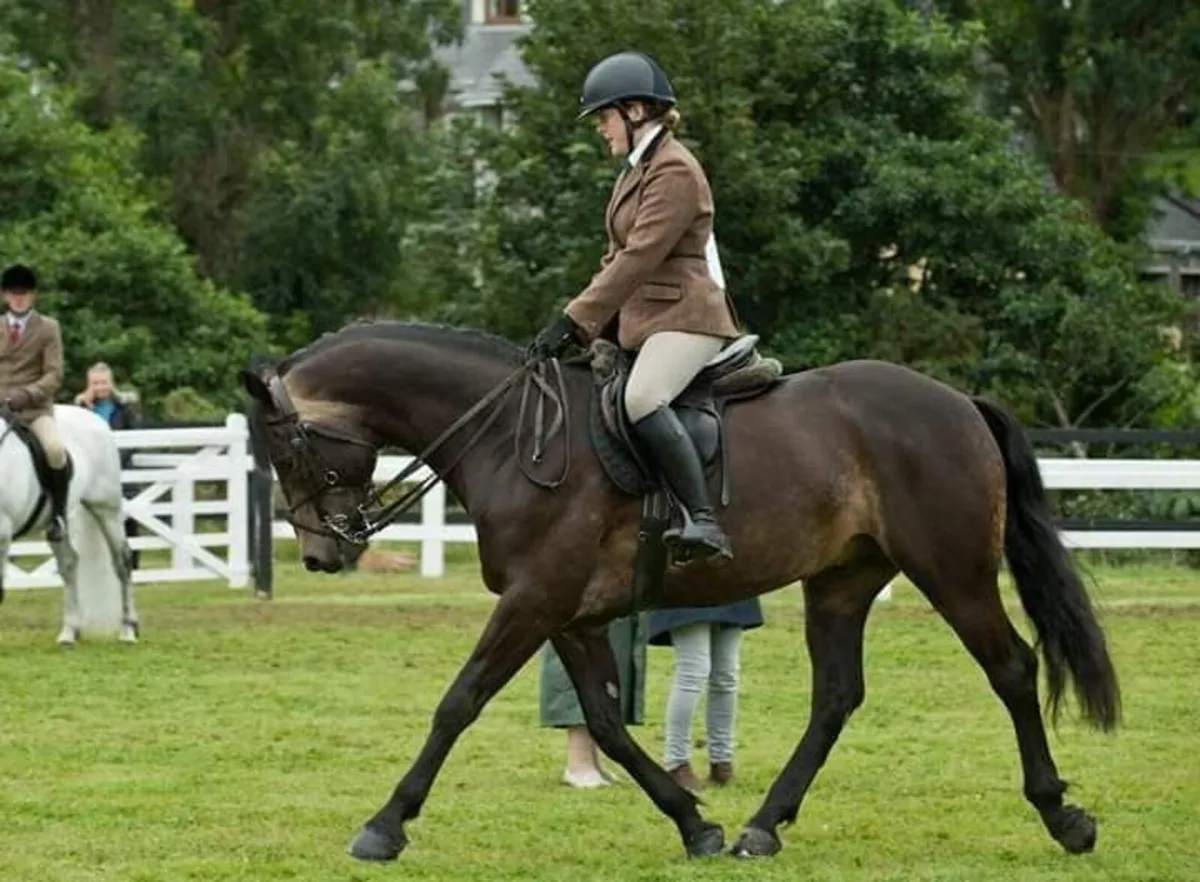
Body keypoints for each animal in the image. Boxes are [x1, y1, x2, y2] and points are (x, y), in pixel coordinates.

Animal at [0, 404, 139, 645]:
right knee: (70, 564)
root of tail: (96, 419)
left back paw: (127, 630)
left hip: (106, 509)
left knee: (122, 562)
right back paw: (69, 632)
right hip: (59, 525)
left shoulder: (2, 533)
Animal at [240, 320, 1119, 864]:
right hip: (842, 581)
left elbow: (459, 702)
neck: (508, 434)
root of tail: (956, 400)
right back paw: (762, 828)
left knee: (1012, 670)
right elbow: (604, 720)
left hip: (953, 569)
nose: (320, 553)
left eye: (290, 450)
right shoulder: (567, 613)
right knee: (837, 695)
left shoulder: (532, 601)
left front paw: (384, 825)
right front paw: (694, 823)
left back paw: (1063, 816)